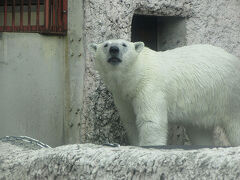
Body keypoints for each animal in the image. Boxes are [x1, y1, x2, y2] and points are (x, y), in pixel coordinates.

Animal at [89, 39, 240, 146]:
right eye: (106, 45)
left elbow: (150, 120)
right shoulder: (123, 96)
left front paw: (148, 145)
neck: (138, 73)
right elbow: (131, 121)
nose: (114, 50)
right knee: (199, 130)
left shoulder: (150, 86)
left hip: (229, 94)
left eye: (124, 44)